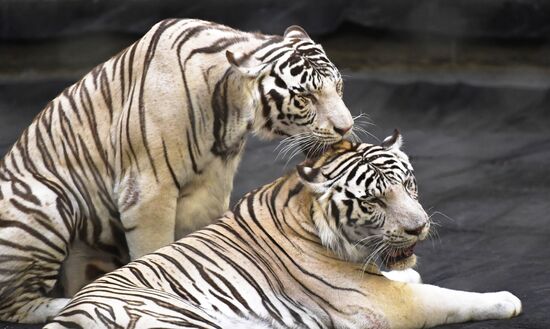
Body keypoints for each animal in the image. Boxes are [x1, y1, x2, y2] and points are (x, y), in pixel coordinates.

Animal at [0, 18, 354, 322]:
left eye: (338, 87)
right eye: (305, 97)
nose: (346, 128)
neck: (231, 105)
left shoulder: (210, 187)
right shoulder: (148, 188)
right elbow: (153, 250)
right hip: (49, 201)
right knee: (14, 305)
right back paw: (64, 302)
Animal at [45, 134, 524, 328]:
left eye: (408, 185)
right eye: (373, 202)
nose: (419, 227)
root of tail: (69, 315)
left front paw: (408, 271)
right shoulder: (379, 306)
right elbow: (447, 298)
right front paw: (506, 300)